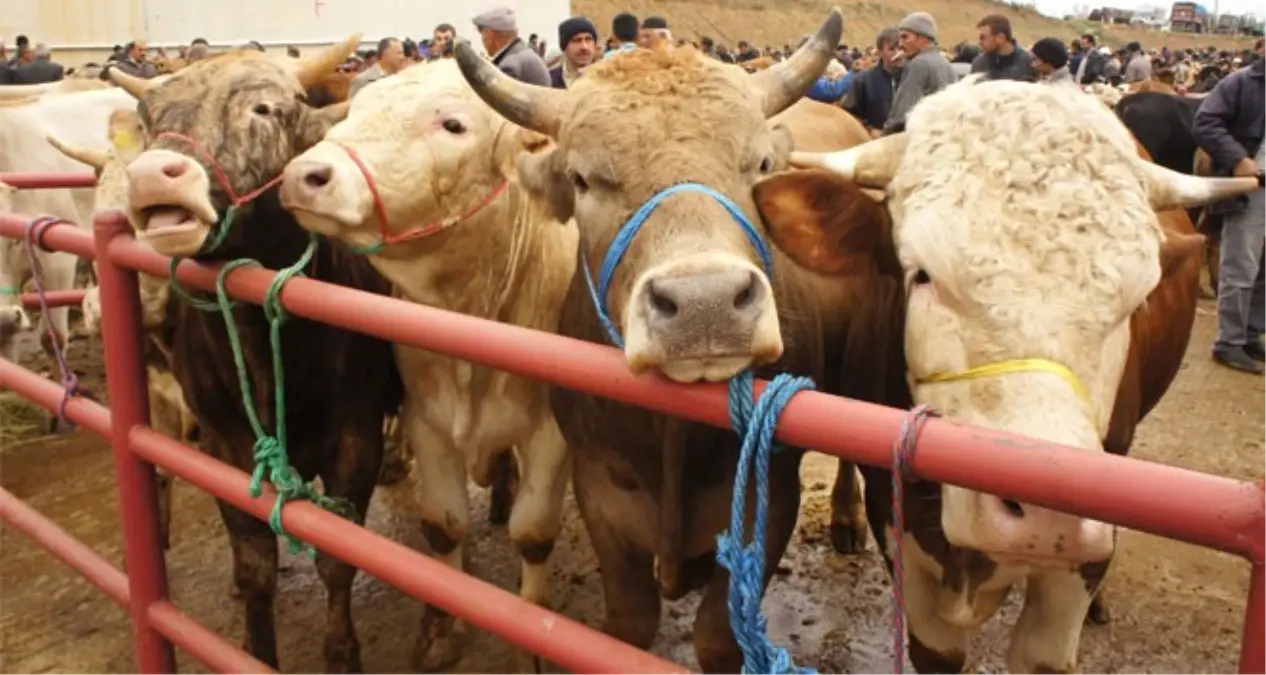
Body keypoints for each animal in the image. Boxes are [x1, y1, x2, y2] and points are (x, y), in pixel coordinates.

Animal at [109, 36, 405, 668]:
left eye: (264, 109)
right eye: (148, 118)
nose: (152, 178)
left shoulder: (355, 441)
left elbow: (337, 559)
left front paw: (342, 652)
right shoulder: (223, 445)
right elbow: (254, 567)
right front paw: (256, 647)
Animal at [450, 11, 855, 673]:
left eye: (760, 165)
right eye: (582, 179)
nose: (705, 305)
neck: (671, 437)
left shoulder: (770, 502)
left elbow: (718, 638)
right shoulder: (598, 489)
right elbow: (629, 621)